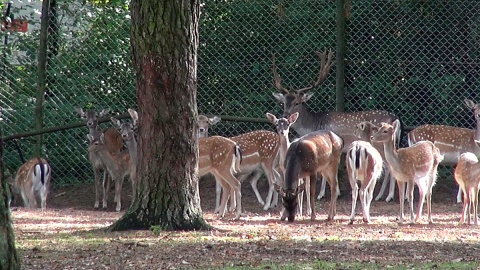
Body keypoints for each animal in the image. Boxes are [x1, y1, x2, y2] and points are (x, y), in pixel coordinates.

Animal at [270, 50, 402, 202]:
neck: (314, 124)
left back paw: (389, 196)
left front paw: (322, 194)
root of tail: (395, 119)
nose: (285, 116)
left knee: (390, 167)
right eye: (284, 102)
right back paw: (381, 195)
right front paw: (336, 191)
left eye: (297, 102)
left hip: (380, 143)